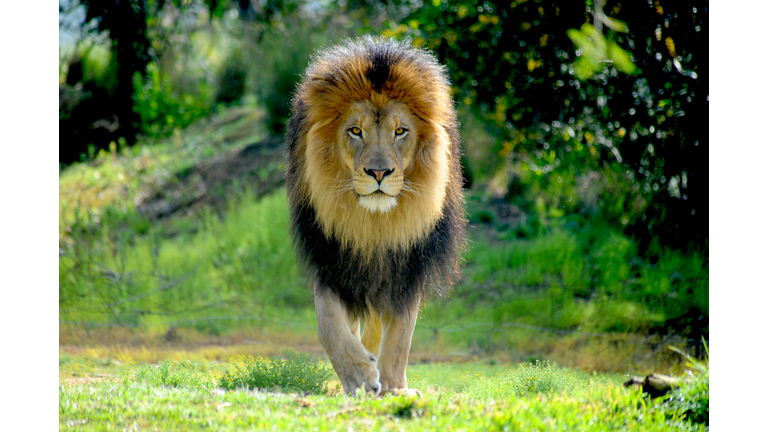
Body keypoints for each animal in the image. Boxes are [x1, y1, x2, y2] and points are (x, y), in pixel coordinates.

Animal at [284, 37, 468, 394]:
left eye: (400, 131)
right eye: (356, 131)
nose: (379, 173)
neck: (374, 225)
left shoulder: (409, 265)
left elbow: (399, 336)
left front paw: (394, 386)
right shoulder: (332, 257)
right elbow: (329, 324)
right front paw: (358, 374)